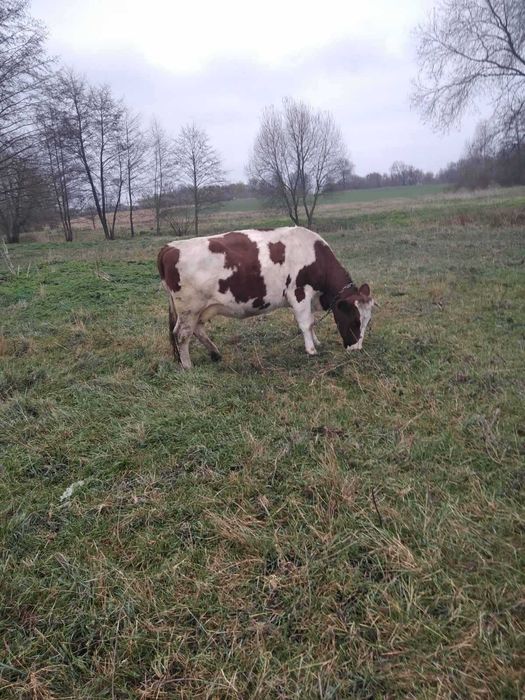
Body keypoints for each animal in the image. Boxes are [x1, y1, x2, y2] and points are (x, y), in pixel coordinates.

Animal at [157, 226, 374, 369]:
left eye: (367, 322)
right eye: (355, 320)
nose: (357, 349)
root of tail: (169, 247)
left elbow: (311, 322)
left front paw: (316, 342)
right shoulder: (299, 292)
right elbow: (305, 323)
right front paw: (311, 350)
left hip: (199, 309)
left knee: (197, 330)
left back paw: (215, 353)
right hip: (189, 308)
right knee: (182, 334)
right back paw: (187, 366)